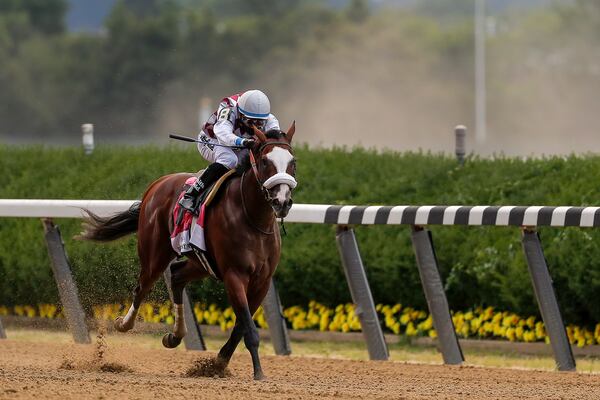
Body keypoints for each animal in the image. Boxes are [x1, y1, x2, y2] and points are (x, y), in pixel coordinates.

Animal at [78, 123, 296, 380]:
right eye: (264, 162)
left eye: (293, 161)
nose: (282, 201)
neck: (253, 218)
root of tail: (157, 184)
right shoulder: (234, 275)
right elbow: (248, 328)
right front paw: (258, 372)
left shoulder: (261, 281)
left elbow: (241, 326)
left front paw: (218, 363)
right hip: (155, 253)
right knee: (143, 286)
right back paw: (124, 323)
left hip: (201, 263)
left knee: (177, 274)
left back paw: (175, 336)